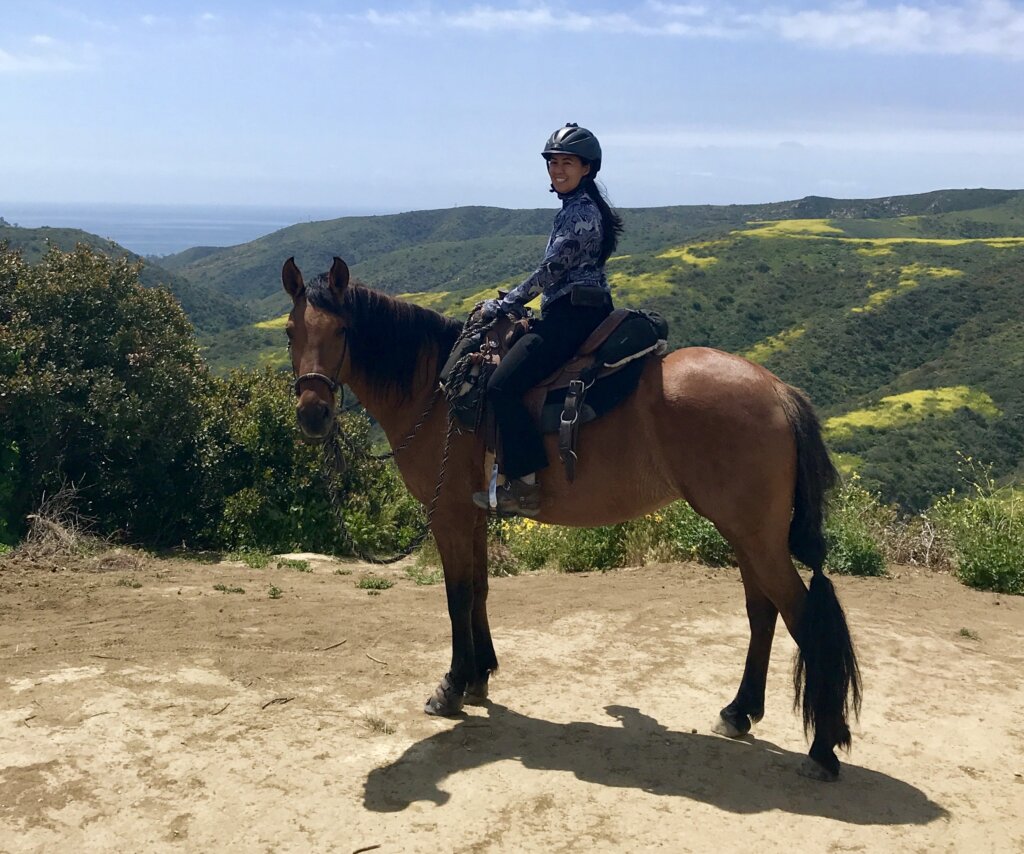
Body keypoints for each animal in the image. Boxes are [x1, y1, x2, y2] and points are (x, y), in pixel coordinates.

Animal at [282, 256, 861, 782]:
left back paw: (822, 749)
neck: (439, 390)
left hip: (755, 534)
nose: (313, 415)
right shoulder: (474, 514)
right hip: (743, 531)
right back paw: (739, 713)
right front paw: (481, 674)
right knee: (762, 612)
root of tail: (778, 390)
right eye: (291, 331)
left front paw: (451, 686)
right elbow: (480, 589)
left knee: (802, 616)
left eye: (341, 330)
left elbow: (456, 596)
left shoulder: (447, 514)